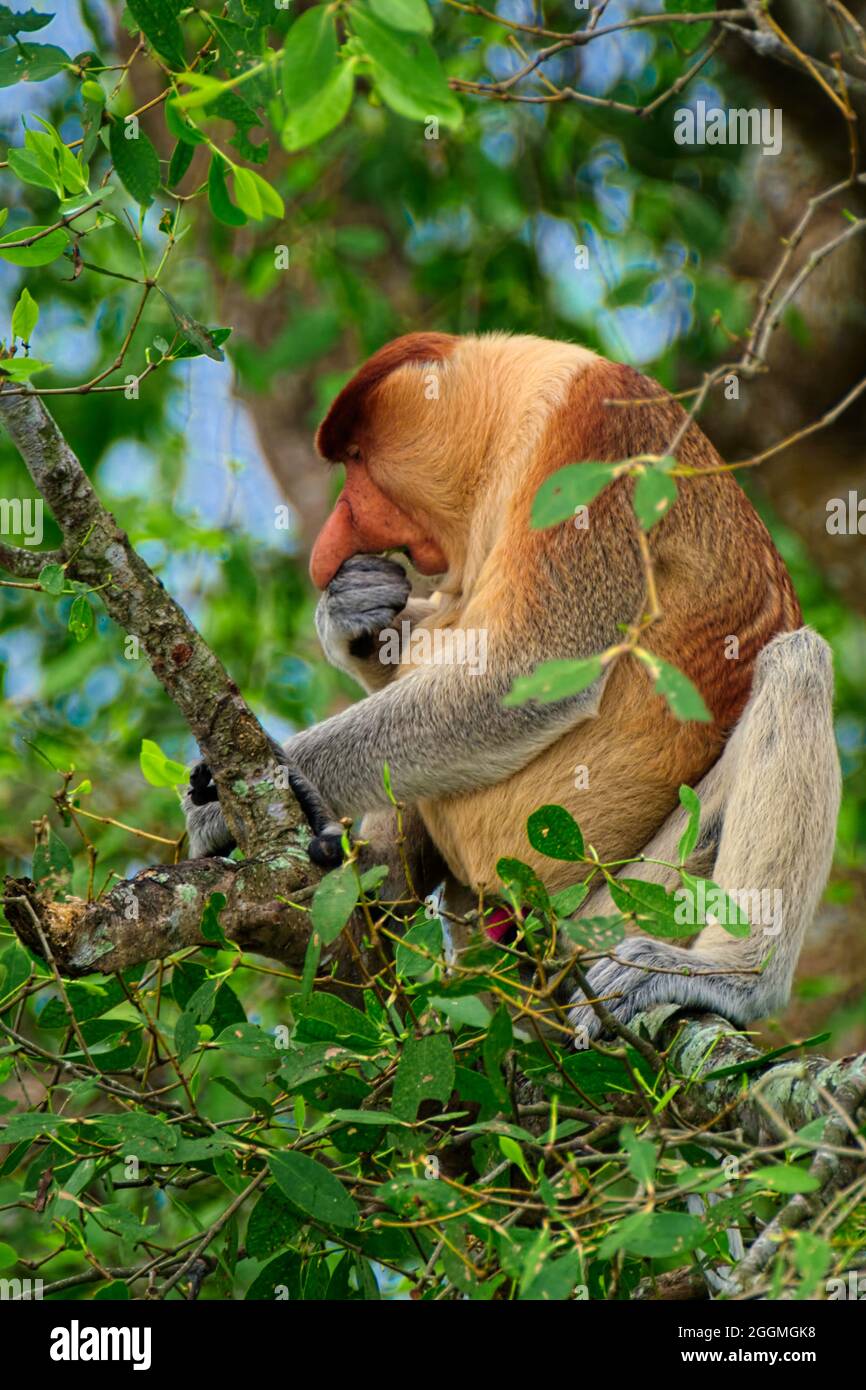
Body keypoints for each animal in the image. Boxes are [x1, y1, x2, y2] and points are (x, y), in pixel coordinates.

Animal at [184, 331, 841, 1039]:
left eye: (357, 458)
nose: (328, 551)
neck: (517, 422)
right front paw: (353, 609)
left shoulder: (597, 439)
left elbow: (526, 667)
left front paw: (239, 792)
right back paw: (368, 876)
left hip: (617, 912)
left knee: (799, 666)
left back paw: (728, 977)